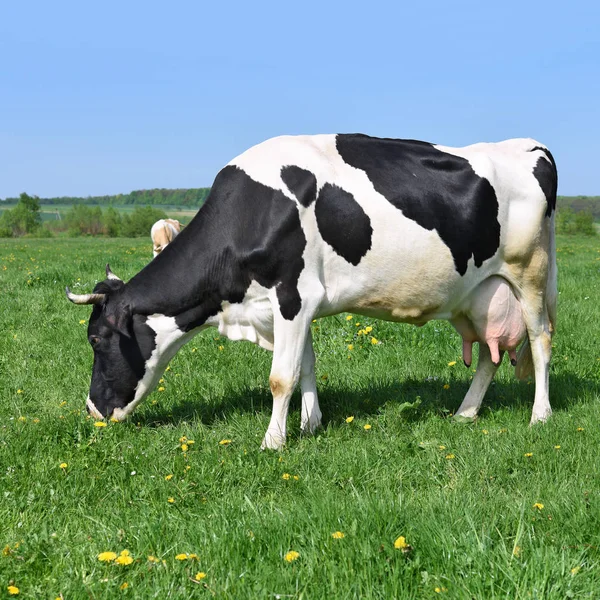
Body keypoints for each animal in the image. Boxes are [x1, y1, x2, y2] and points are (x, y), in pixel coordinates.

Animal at [67, 134, 556, 448]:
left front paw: (273, 441)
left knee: (540, 340)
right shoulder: (294, 306)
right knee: (491, 354)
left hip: (529, 273)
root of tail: (529, 144)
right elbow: (306, 365)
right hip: (479, 294)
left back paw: (540, 416)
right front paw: (310, 424)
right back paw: (465, 412)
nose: (92, 411)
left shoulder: (292, 295)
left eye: (96, 340)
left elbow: (280, 376)